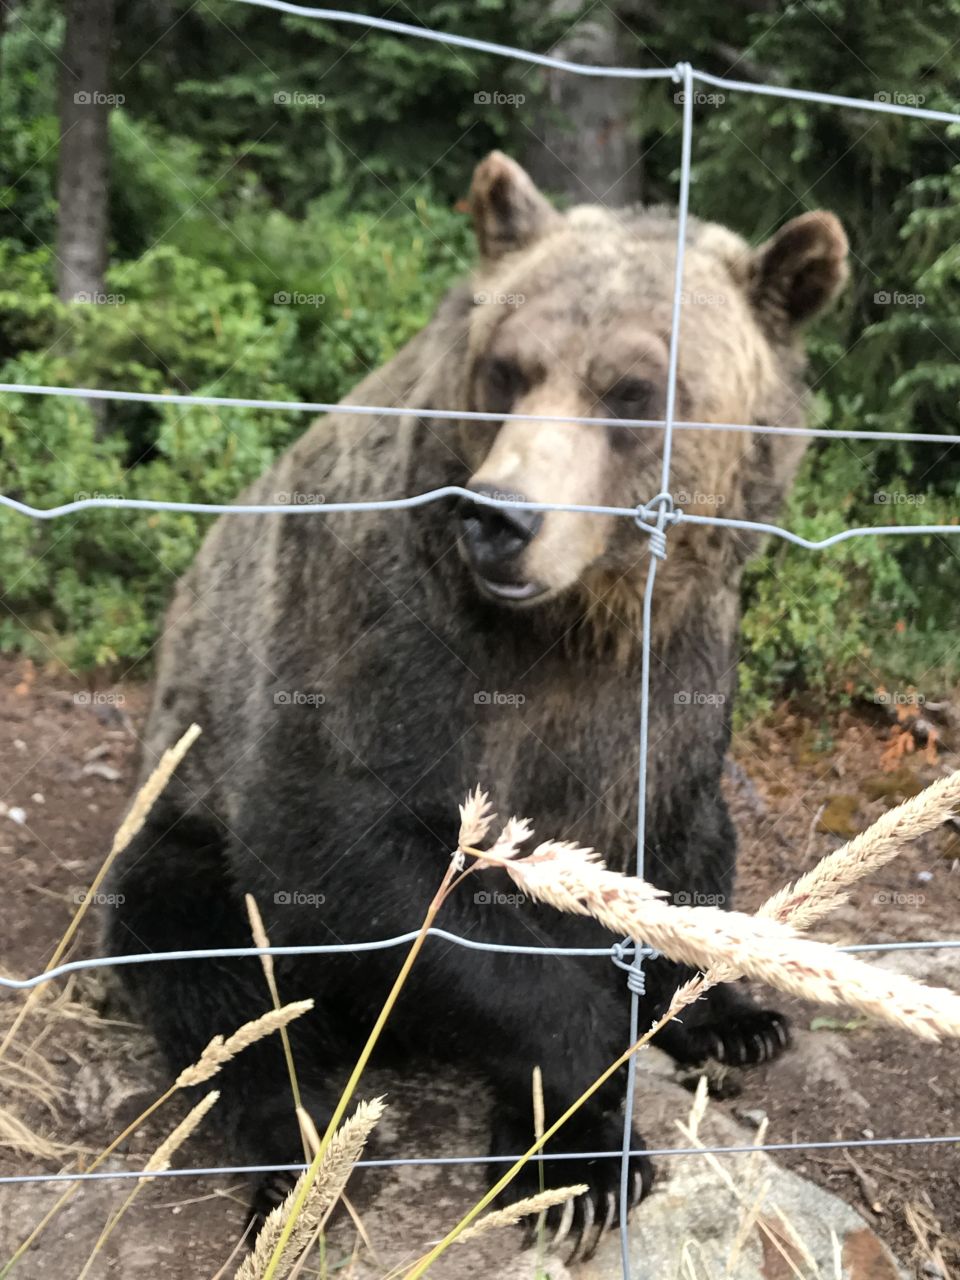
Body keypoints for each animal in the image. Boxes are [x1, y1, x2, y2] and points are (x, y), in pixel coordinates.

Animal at [104, 151, 848, 1256]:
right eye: (507, 366)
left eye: (634, 391)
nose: (503, 519)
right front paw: (582, 1154)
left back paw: (738, 1021)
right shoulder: (383, 632)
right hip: (182, 819)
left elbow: (671, 848)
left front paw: (697, 1021)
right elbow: (364, 858)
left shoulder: (672, 670)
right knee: (218, 983)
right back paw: (300, 1165)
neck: (575, 625)